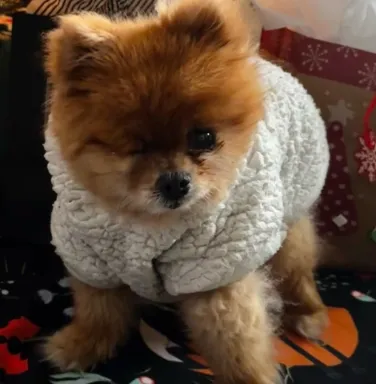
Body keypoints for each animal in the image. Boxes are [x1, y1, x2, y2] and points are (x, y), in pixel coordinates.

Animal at [41, 0, 328, 382]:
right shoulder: (91, 256)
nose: (174, 180)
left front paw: (250, 377)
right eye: (135, 148)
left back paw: (309, 314)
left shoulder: (213, 269)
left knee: (297, 273)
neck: (146, 224)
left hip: (288, 232)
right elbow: (98, 308)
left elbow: (236, 339)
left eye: (203, 137)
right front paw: (82, 344)